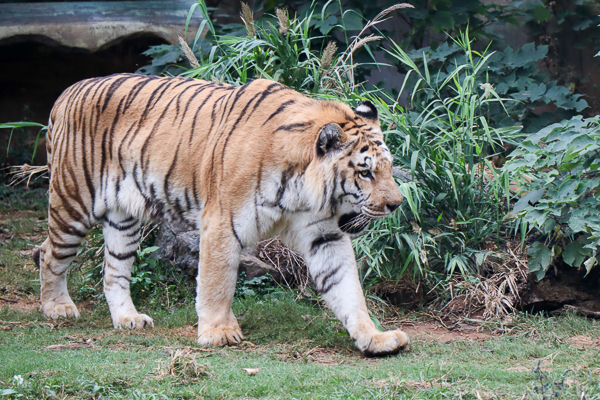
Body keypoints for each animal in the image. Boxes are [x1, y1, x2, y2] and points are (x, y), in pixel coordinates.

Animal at [32, 72, 408, 356]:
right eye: (365, 172)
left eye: (388, 168)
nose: (397, 204)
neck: (304, 190)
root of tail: (67, 92)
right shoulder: (222, 224)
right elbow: (217, 283)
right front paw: (218, 332)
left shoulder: (324, 235)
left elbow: (348, 289)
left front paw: (375, 338)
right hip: (72, 203)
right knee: (49, 254)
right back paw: (57, 308)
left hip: (124, 221)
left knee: (114, 272)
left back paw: (129, 319)